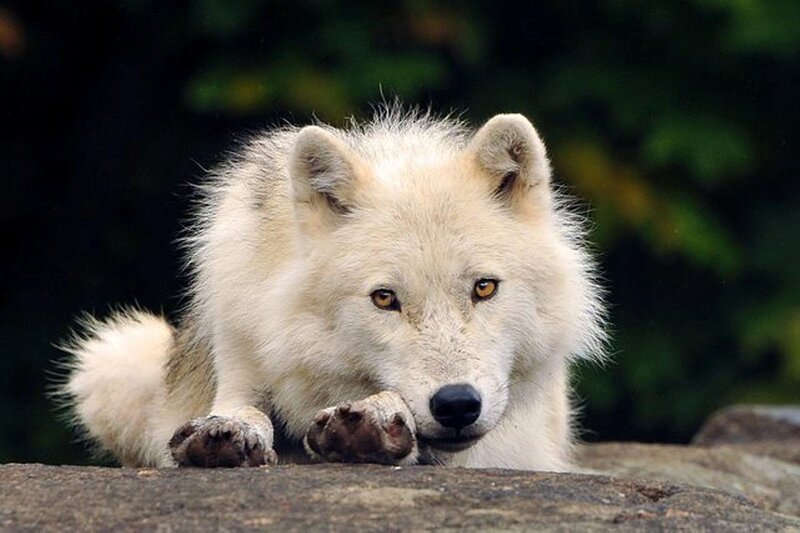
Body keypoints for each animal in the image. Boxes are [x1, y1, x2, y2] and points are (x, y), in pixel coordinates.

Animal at [59, 107, 606, 470]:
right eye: (384, 299)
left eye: (484, 288)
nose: (456, 404)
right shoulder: (240, 353)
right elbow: (241, 407)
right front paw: (230, 430)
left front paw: (373, 421)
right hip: (113, 360)